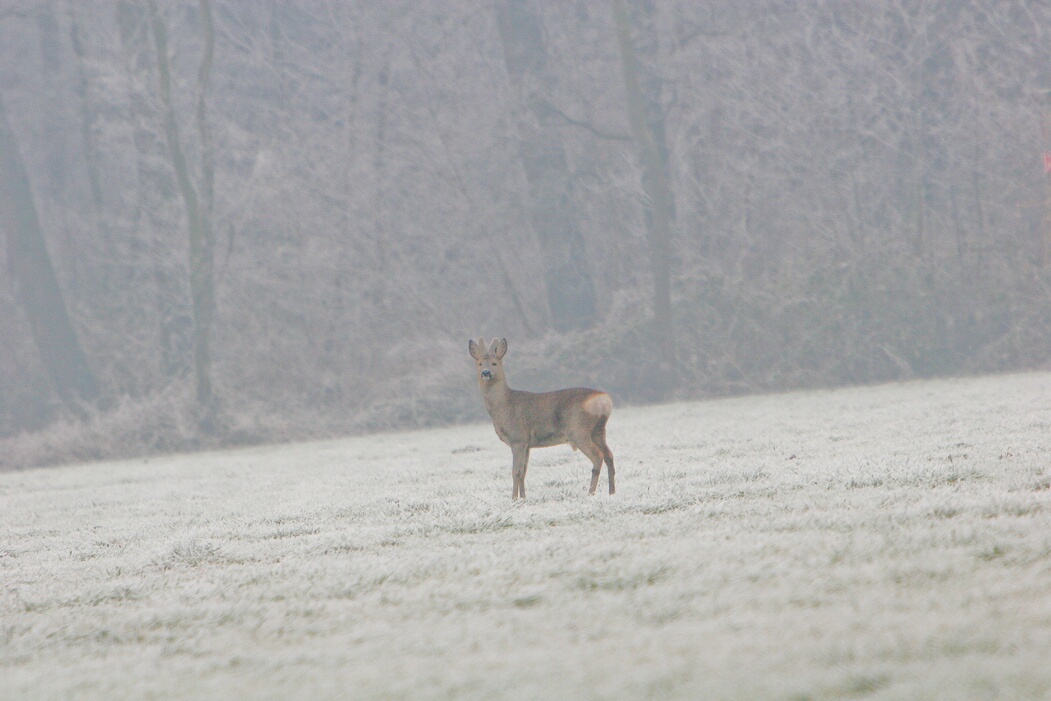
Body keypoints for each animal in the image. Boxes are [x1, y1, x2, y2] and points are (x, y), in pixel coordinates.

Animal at [470, 338, 613, 498]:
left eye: (495, 363)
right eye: (479, 363)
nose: (486, 372)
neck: (503, 405)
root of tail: (604, 399)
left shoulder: (518, 438)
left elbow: (516, 472)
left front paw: (514, 499)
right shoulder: (527, 443)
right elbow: (524, 472)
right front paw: (523, 498)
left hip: (578, 430)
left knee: (598, 456)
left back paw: (590, 493)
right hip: (599, 430)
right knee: (609, 456)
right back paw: (611, 492)